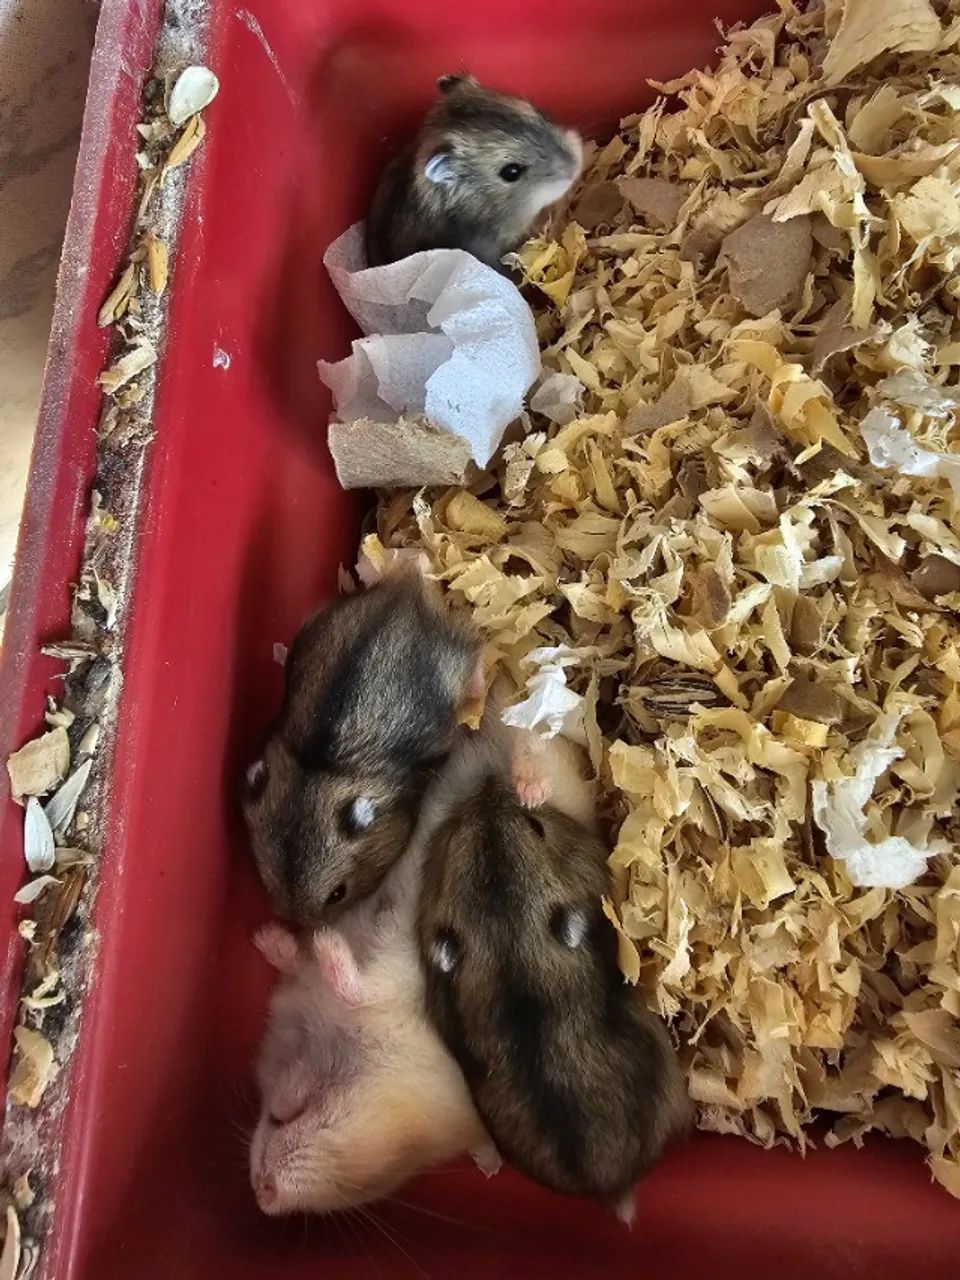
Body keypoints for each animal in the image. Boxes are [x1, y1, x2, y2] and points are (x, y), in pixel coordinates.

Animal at [243, 568, 480, 926]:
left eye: (337, 894)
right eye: (266, 883)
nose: (304, 928)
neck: (317, 772)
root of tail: (404, 593)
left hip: (455, 662)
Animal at [250, 855, 495, 1216]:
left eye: (388, 1175)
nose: (263, 1198)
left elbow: (353, 987)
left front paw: (323, 945)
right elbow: (336, 976)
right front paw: (279, 938)